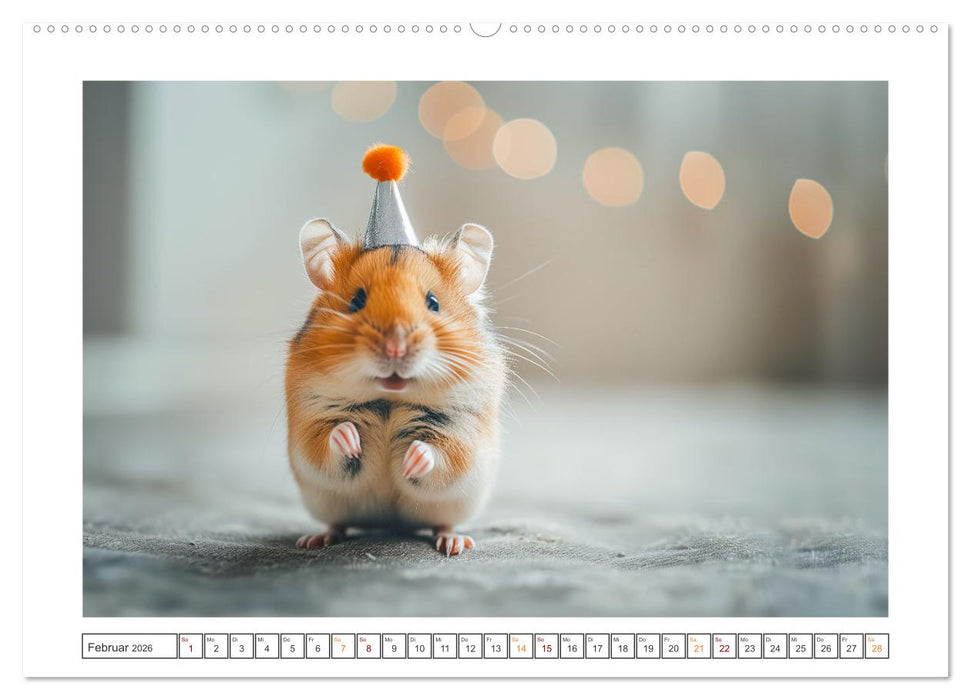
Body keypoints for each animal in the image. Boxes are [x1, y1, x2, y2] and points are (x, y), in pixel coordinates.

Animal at [285, 154, 506, 556]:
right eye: (356, 301)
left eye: (433, 302)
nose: (395, 347)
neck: (388, 400)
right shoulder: (311, 421)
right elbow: (327, 440)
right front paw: (350, 438)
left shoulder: (462, 431)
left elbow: (443, 454)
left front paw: (410, 459)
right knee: (337, 522)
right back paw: (315, 539)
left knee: (443, 522)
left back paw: (454, 543)